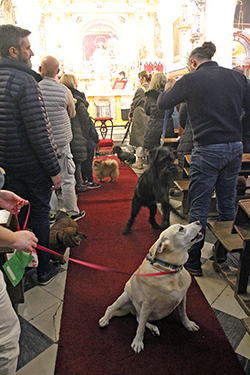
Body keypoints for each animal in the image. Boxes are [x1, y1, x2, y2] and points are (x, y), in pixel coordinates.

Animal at [99, 222, 203, 354]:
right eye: (181, 229)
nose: (198, 222)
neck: (170, 271)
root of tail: (131, 310)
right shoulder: (147, 305)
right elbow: (141, 328)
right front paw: (138, 342)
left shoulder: (183, 297)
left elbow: (183, 313)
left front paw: (188, 324)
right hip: (125, 297)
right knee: (112, 309)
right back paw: (104, 319)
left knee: (138, 319)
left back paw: (153, 329)